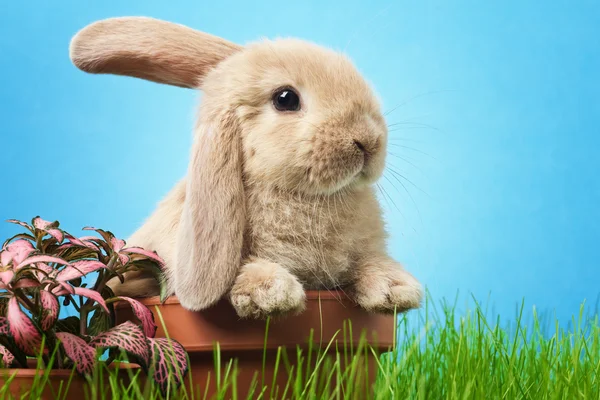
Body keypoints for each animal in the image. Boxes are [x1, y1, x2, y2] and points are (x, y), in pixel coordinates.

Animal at [70, 16, 424, 318]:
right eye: (285, 99)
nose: (368, 140)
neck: (305, 196)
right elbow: (241, 271)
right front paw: (273, 293)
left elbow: (367, 264)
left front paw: (396, 290)